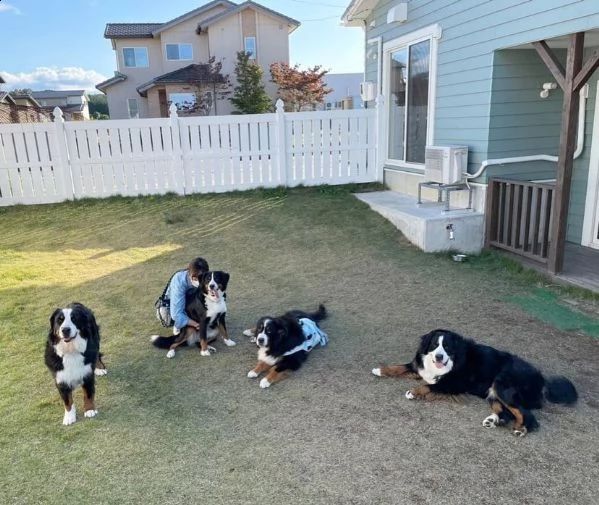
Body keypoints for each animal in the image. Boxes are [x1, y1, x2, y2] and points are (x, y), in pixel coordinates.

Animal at [372, 328, 580, 436]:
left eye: (447, 347)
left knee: (527, 415)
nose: (439, 357)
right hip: (493, 393)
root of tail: (541, 378)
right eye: (434, 345)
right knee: (506, 413)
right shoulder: (419, 367)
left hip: (502, 385)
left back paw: (521, 430)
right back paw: (493, 421)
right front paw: (380, 370)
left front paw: (413, 392)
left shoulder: (451, 385)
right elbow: (399, 367)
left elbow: (428, 386)